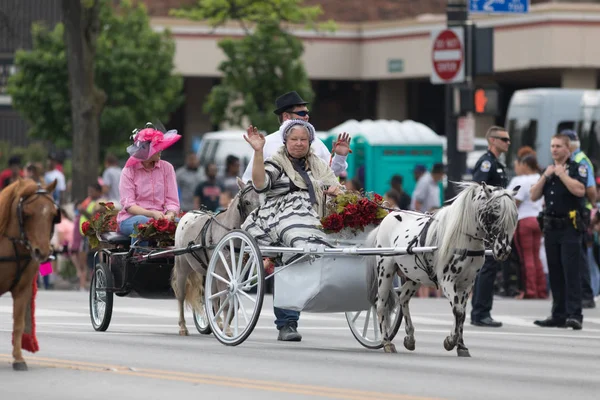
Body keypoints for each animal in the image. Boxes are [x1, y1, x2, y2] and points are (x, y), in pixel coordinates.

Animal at [0, 177, 60, 370]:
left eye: (53, 215)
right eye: (26, 214)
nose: (42, 252)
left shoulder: (23, 289)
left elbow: (19, 323)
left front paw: (19, 359)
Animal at [170, 178, 262, 334]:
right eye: (247, 202)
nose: (256, 221)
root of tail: (186, 215)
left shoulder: (235, 273)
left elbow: (229, 301)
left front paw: (224, 325)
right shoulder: (221, 271)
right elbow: (224, 301)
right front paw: (227, 329)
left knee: (212, 297)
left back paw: (217, 322)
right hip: (183, 266)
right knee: (181, 296)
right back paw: (183, 326)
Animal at [366, 181, 520, 356]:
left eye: (515, 216)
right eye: (494, 214)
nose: (503, 251)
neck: (463, 240)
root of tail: (388, 217)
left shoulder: (466, 284)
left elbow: (461, 313)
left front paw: (461, 345)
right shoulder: (447, 281)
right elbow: (458, 311)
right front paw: (451, 341)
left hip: (414, 277)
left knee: (403, 298)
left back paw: (410, 338)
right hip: (385, 270)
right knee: (381, 304)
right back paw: (386, 342)